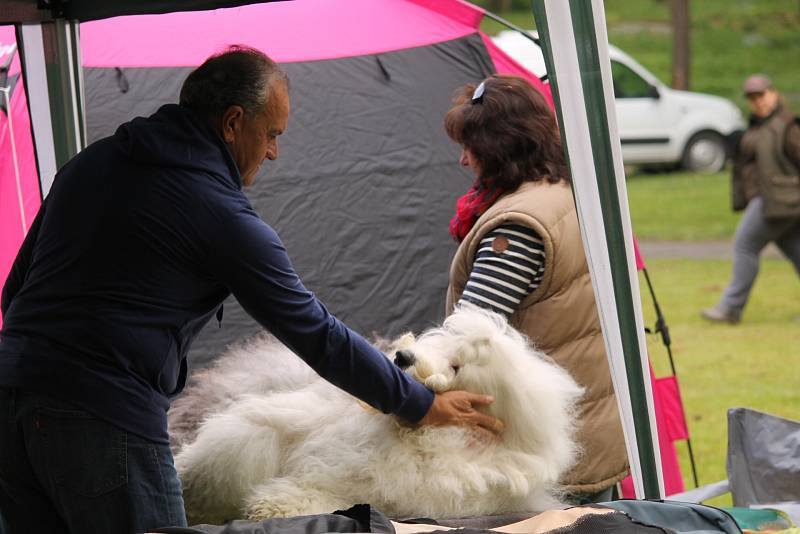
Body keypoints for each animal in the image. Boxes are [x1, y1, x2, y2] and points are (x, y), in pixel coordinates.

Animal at [173, 308, 580, 524]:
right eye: (441, 341)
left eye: (456, 366)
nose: (403, 357)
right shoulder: (279, 427)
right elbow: (228, 451)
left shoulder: (369, 490)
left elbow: (322, 498)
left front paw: (268, 508)